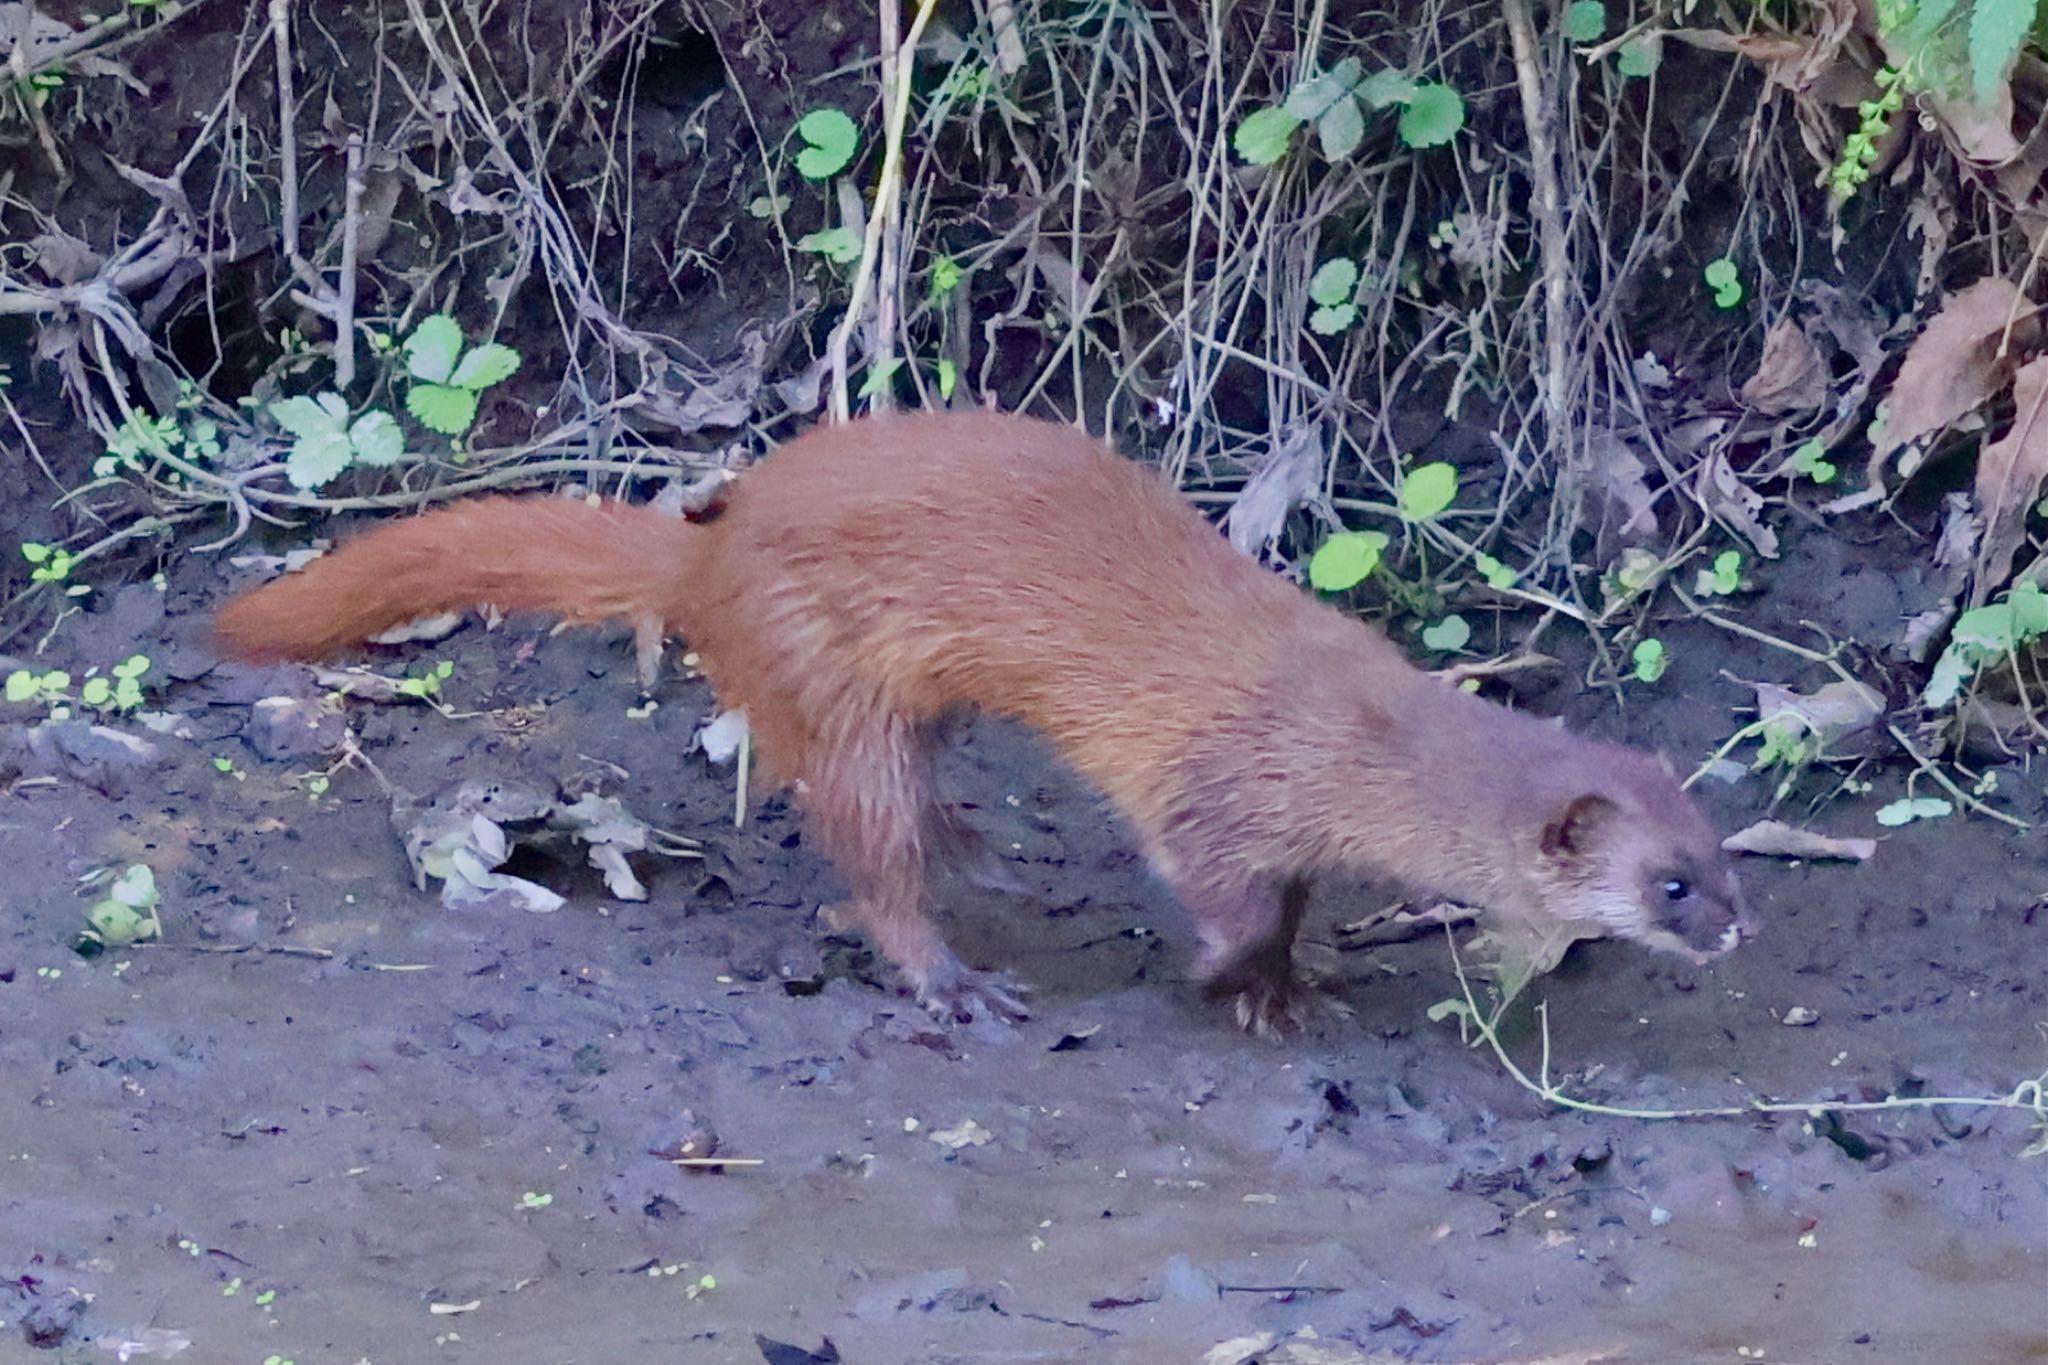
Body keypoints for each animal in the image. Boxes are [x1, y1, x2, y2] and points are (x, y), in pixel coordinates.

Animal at [211, 411, 1744, 1031]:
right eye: (1669, 884)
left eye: (1720, 852)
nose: (1739, 929)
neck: (1355, 727)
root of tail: (710, 550)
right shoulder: (1217, 792)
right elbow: (1223, 893)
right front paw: (1234, 984)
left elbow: (1293, 906)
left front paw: (1293, 985)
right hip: (834, 685)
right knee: (869, 850)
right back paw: (955, 979)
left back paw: (987, 861)